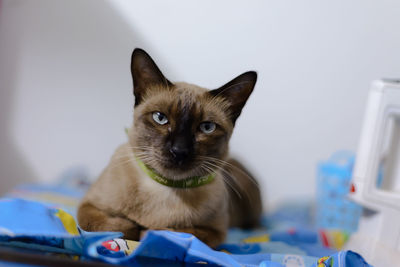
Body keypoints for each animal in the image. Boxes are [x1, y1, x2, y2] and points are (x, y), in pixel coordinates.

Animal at [77, 48, 262, 249]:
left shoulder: (215, 232)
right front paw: (134, 227)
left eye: (206, 127)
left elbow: (174, 233)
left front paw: (149, 232)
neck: (164, 188)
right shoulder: (88, 206)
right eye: (160, 118)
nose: (179, 151)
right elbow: (113, 226)